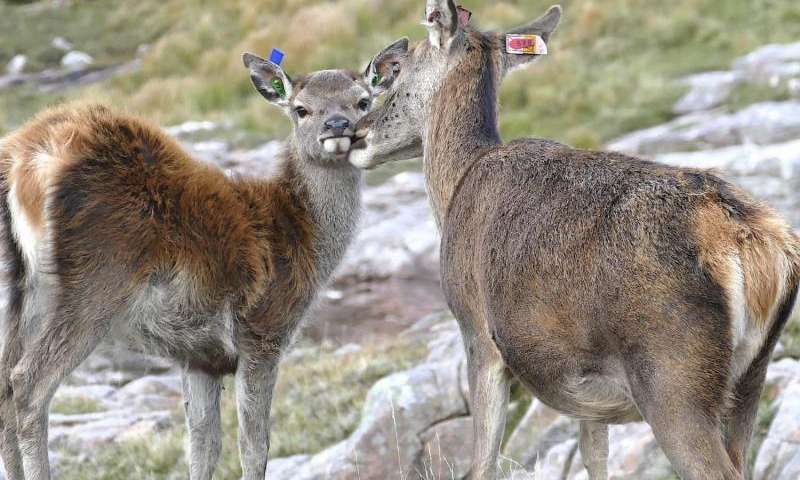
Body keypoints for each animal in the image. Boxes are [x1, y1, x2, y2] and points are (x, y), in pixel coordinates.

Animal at [0, 50, 384, 478]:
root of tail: (26, 158)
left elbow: (203, 445)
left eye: (362, 101)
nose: (337, 125)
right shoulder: (263, 331)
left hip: (23, 287)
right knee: (28, 383)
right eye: (301, 109)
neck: (301, 238)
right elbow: (254, 445)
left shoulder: (199, 355)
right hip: (95, 280)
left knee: (4, 385)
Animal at [350, 1, 800, 478]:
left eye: (396, 69)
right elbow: (593, 456)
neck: (455, 186)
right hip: (750, 377)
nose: (356, 134)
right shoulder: (590, 397)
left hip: (674, 378)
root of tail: (754, 242)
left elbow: (483, 461)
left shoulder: (476, 330)